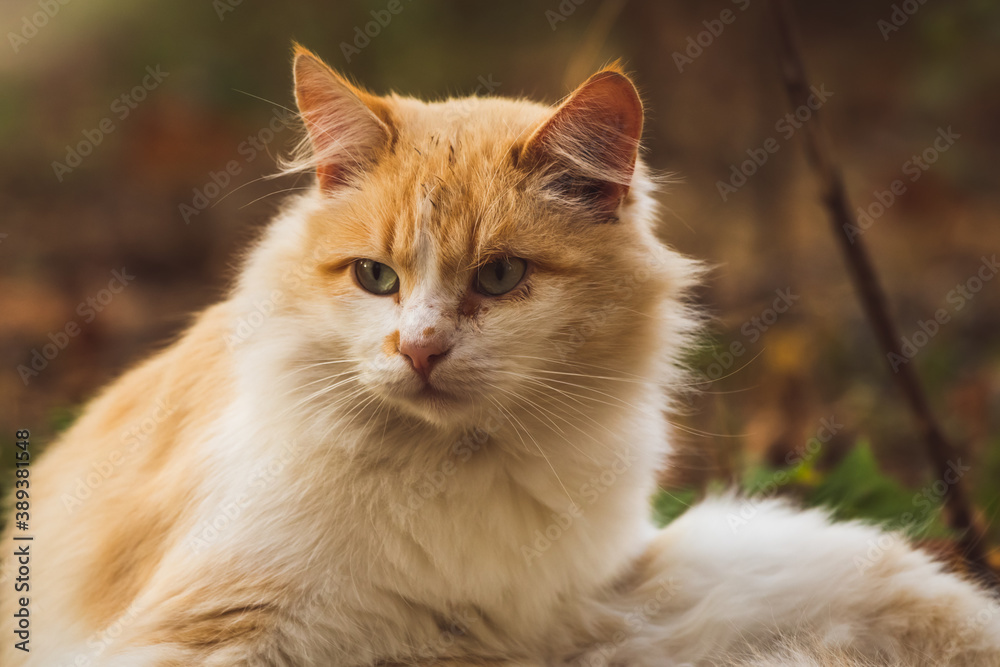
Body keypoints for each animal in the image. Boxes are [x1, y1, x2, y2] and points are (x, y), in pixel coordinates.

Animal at [1, 44, 1000, 664]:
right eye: (375, 277)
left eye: (501, 276)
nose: (419, 349)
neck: (449, 475)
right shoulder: (212, 627)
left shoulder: (571, 614)